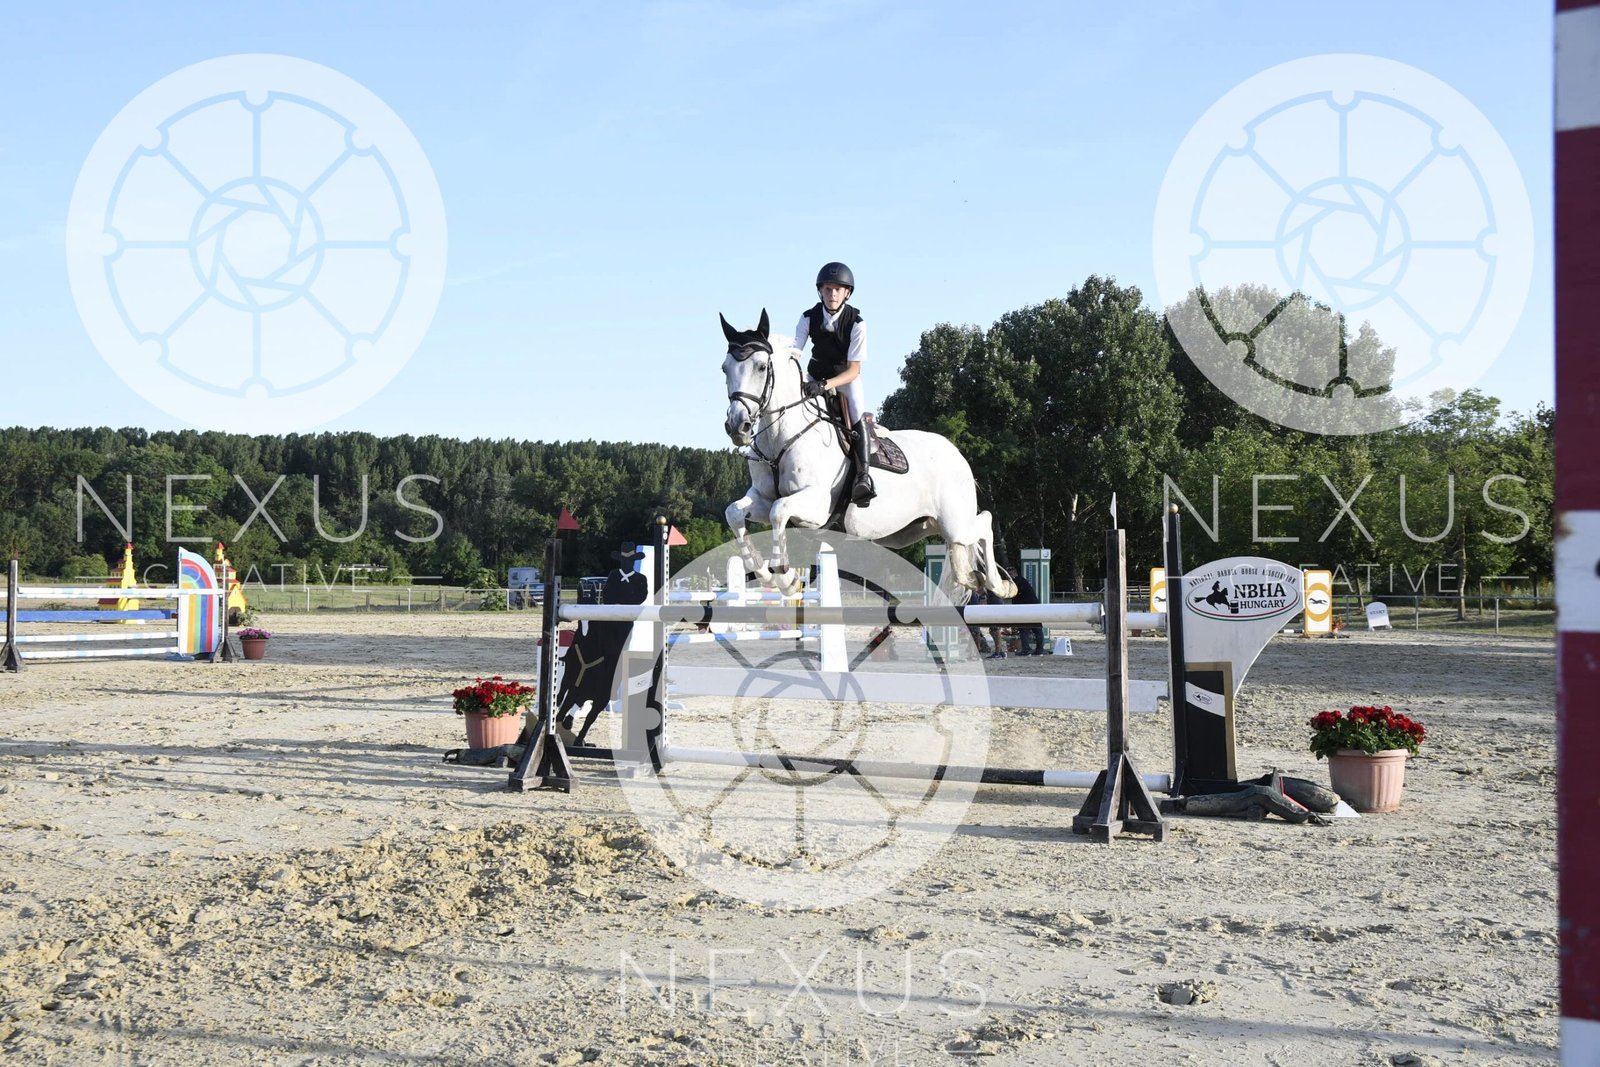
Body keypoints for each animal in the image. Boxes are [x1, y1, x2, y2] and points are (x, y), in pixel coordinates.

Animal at [720, 310, 1017, 604]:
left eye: (761, 367)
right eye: (725, 368)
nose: (737, 427)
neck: (780, 438)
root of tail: (956, 453)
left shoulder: (816, 506)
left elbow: (778, 511)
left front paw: (786, 578)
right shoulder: (761, 497)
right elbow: (734, 512)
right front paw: (763, 571)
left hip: (954, 522)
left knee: (984, 523)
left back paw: (1001, 585)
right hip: (911, 530)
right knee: (961, 547)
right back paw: (973, 579)